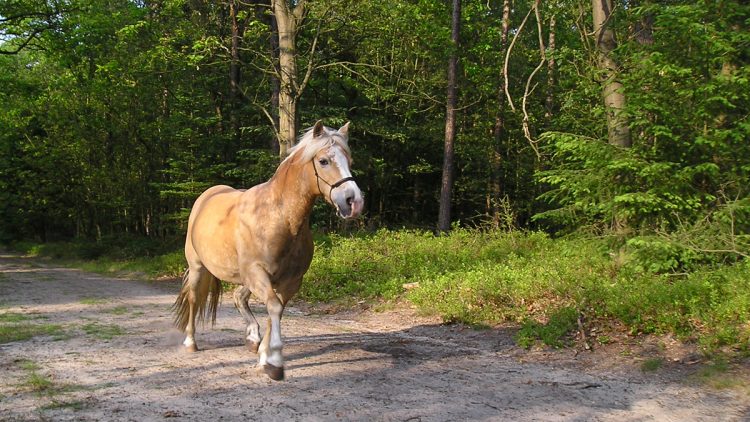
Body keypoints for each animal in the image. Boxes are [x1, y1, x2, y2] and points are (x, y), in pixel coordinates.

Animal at [174, 121, 368, 380]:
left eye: (350, 160)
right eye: (323, 161)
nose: (353, 201)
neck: (279, 218)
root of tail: (207, 196)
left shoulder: (290, 281)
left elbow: (275, 310)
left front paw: (264, 355)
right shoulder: (257, 273)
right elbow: (274, 307)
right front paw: (274, 361)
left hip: (244, 276)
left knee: (239, 297)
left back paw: (252, 337)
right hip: (198, 268)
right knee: (194, 298)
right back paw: (190, 342)